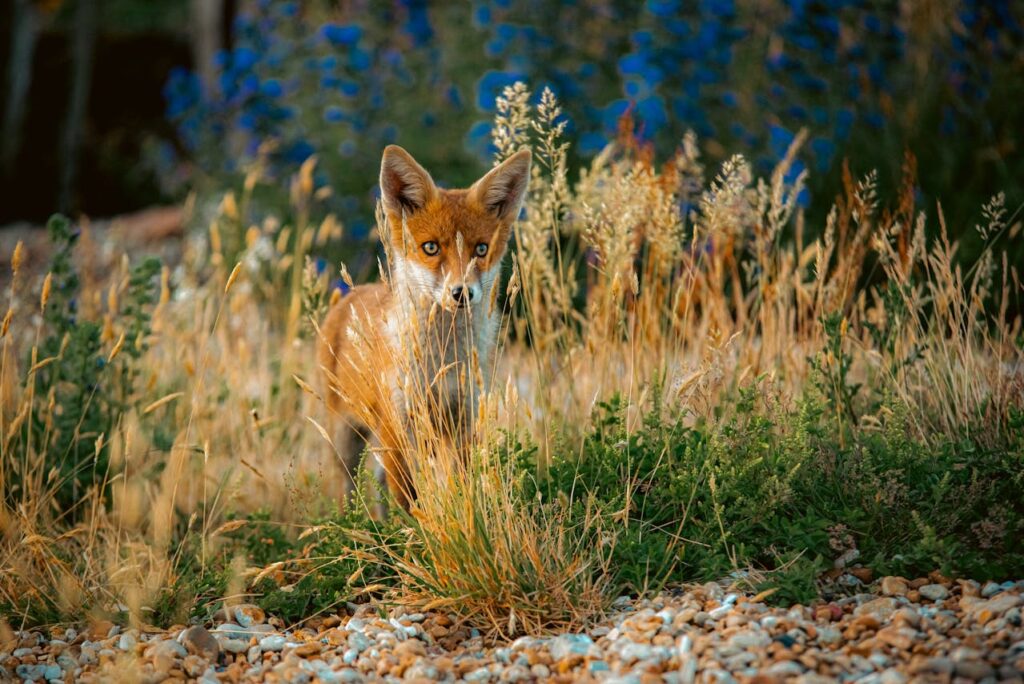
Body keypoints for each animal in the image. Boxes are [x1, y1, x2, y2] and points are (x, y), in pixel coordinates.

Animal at [317, 144, 531, 510]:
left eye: (481, 249)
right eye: (430, 247)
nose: (461, 293)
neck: (440, 361)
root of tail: (350, 294)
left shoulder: (463, 419)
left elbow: (460, 486)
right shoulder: (397, 424)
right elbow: (409, 500)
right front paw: (413, 526)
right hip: (346, 438)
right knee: (349, 487)